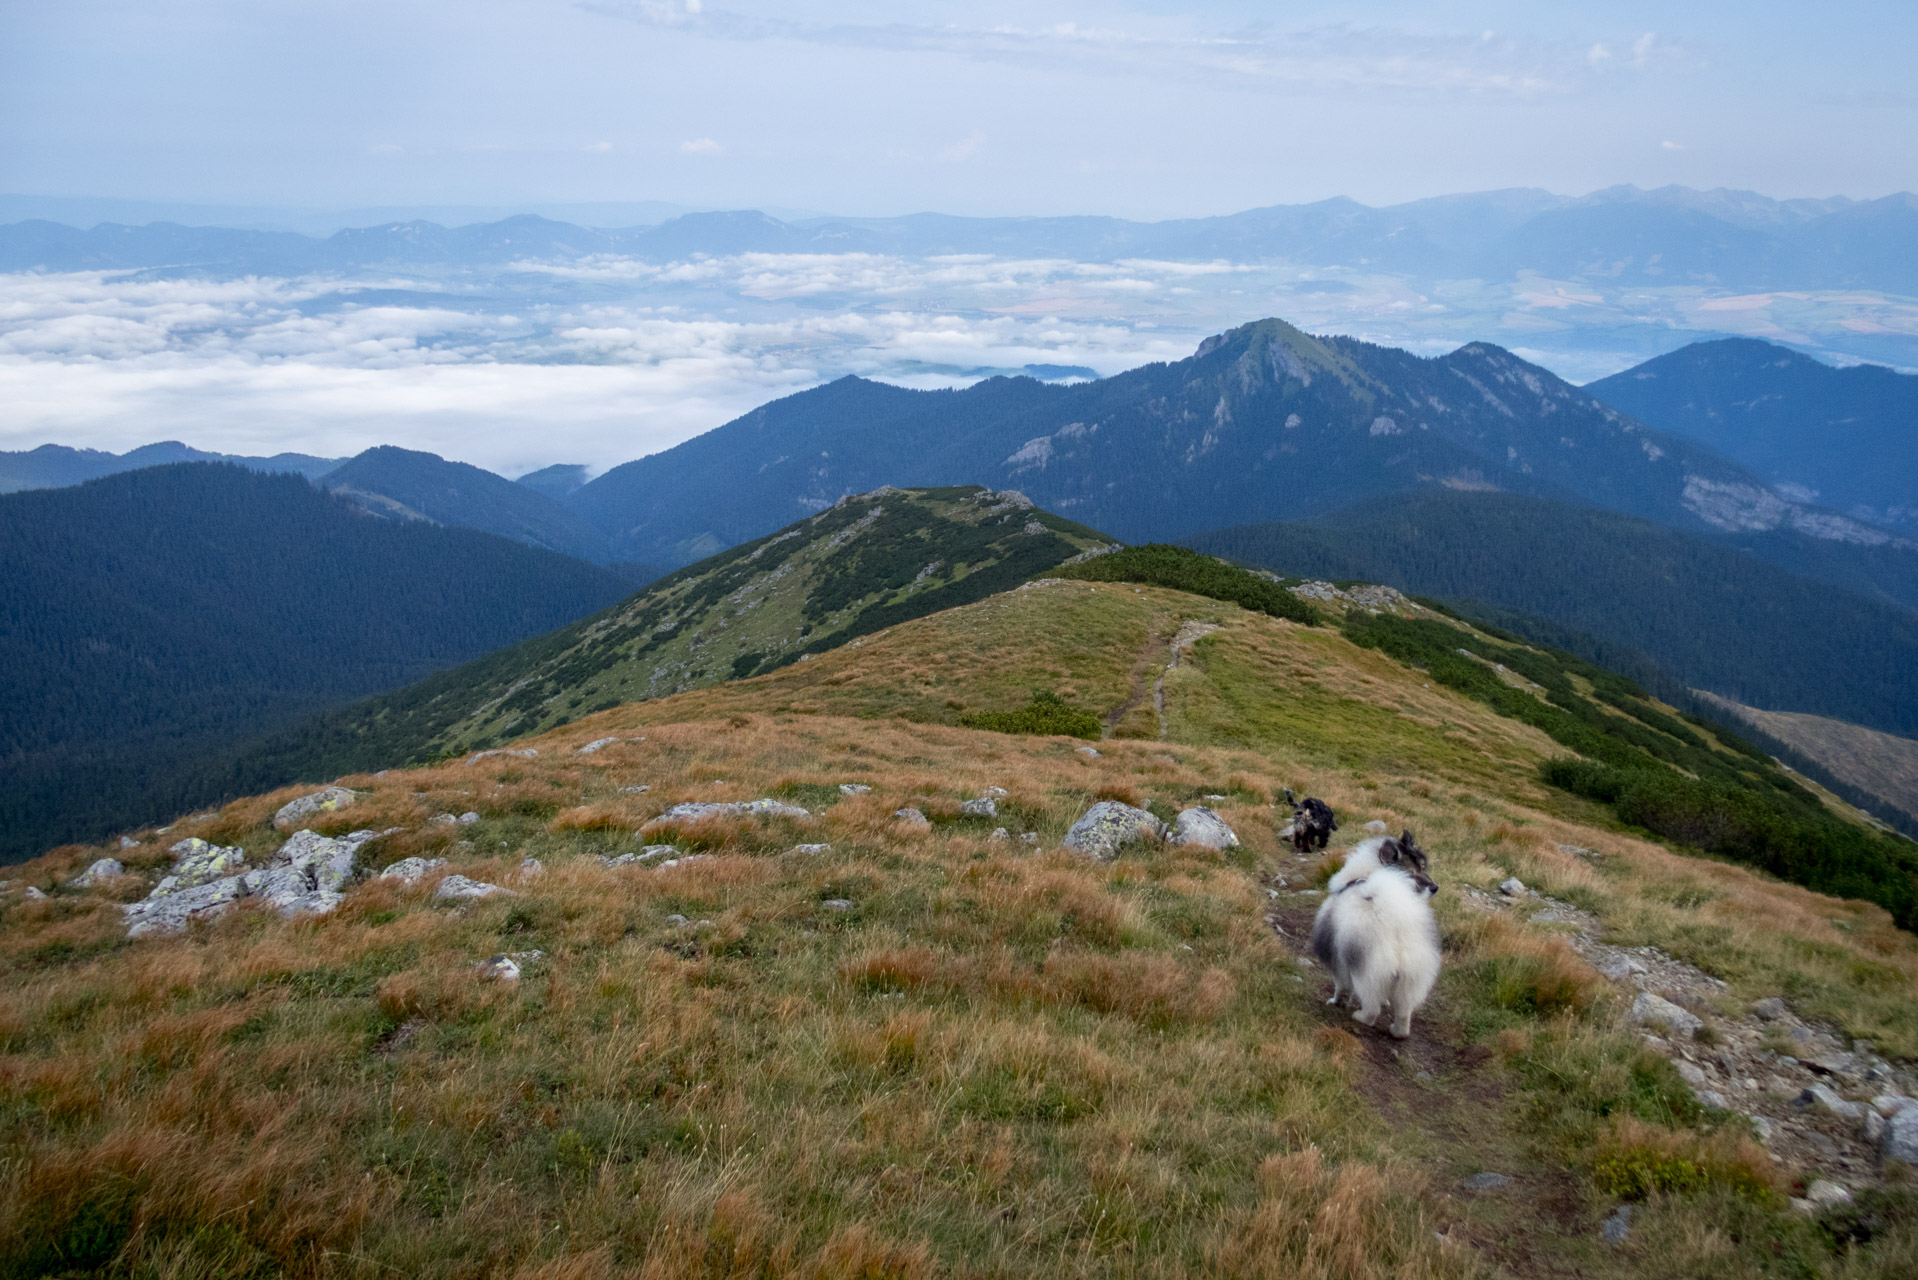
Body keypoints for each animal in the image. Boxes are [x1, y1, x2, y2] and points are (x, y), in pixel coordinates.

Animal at [1319, 832, 1442, 1043]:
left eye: (1423, 867)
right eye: (1414, 872)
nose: (1435, 887)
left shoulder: (1339, 958)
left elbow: (1341, 986)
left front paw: (1335, 1001)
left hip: (1367, 972)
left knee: (1371, 1009)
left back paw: (1360, 1017)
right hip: (1410, 979)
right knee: (1403, 1013)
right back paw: (1397, 1031)